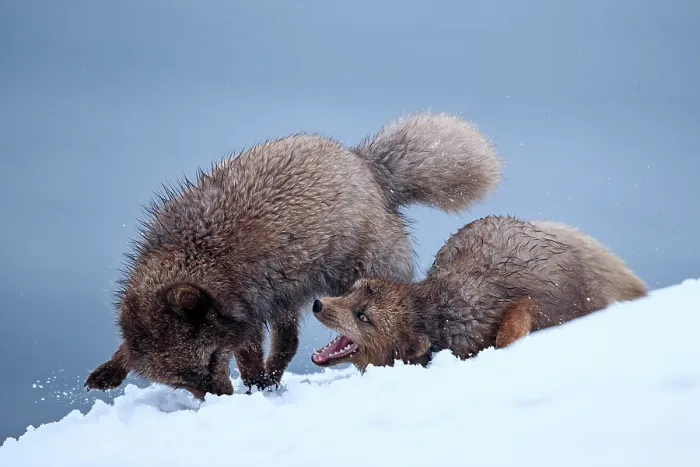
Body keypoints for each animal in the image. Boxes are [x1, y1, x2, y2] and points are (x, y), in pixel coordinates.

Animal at [84, 112, 502, 399]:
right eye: (184, 381)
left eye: (211, 361)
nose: (222, 401)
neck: (198, 254)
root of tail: (366, 165)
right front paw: (111, 368)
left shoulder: (248, 315)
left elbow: (251, 354)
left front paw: (254, 386)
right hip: (289, 294)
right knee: (290, 343)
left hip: (345, 279)